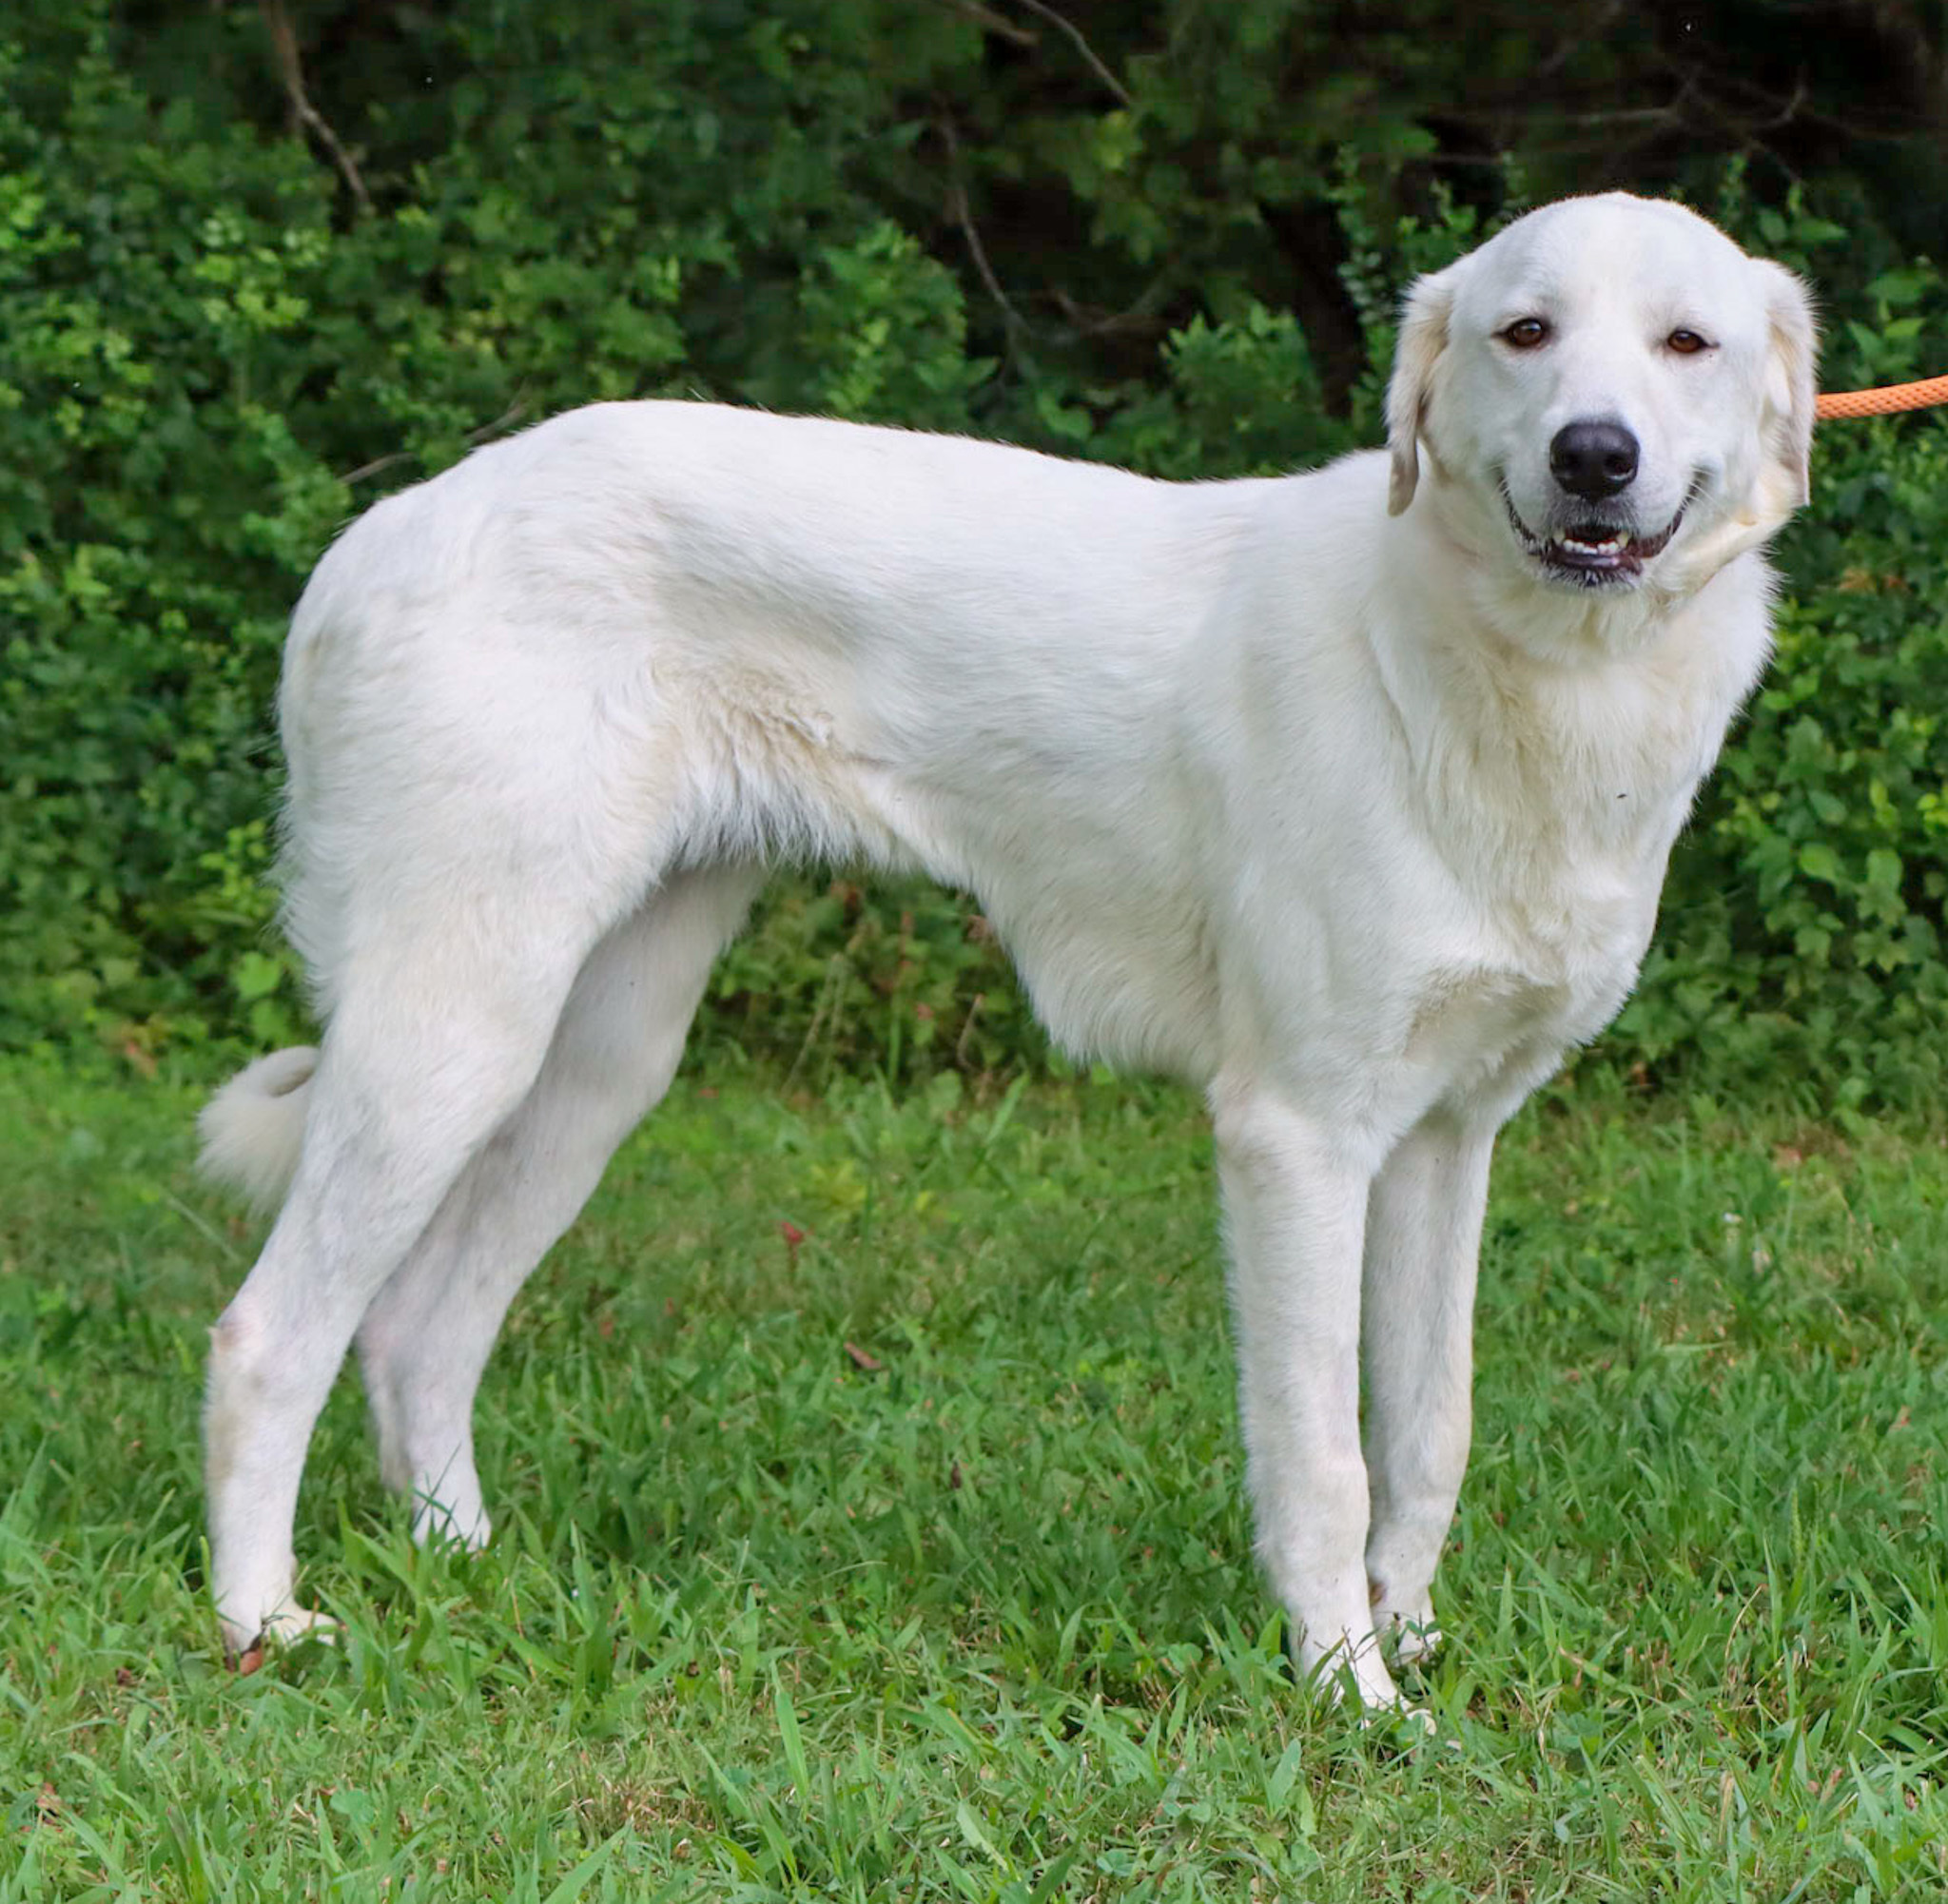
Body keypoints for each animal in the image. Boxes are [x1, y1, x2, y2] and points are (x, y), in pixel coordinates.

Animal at [197, 192, 1807, 1705]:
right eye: (1525, 333)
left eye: (1688, 343)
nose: (1595, 457)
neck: (1495, 663)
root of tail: (384, 530)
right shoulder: (1296, 1135)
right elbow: (1322, 1455)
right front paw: (1346, 1686)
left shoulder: (1444, 1138)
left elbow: (1428, 1429)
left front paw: (1406, 1641)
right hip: (453, 1031)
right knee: (269, 1334)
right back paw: (260, 1622)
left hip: (597, 1055)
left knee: (417, 1331)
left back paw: (467, 1572)